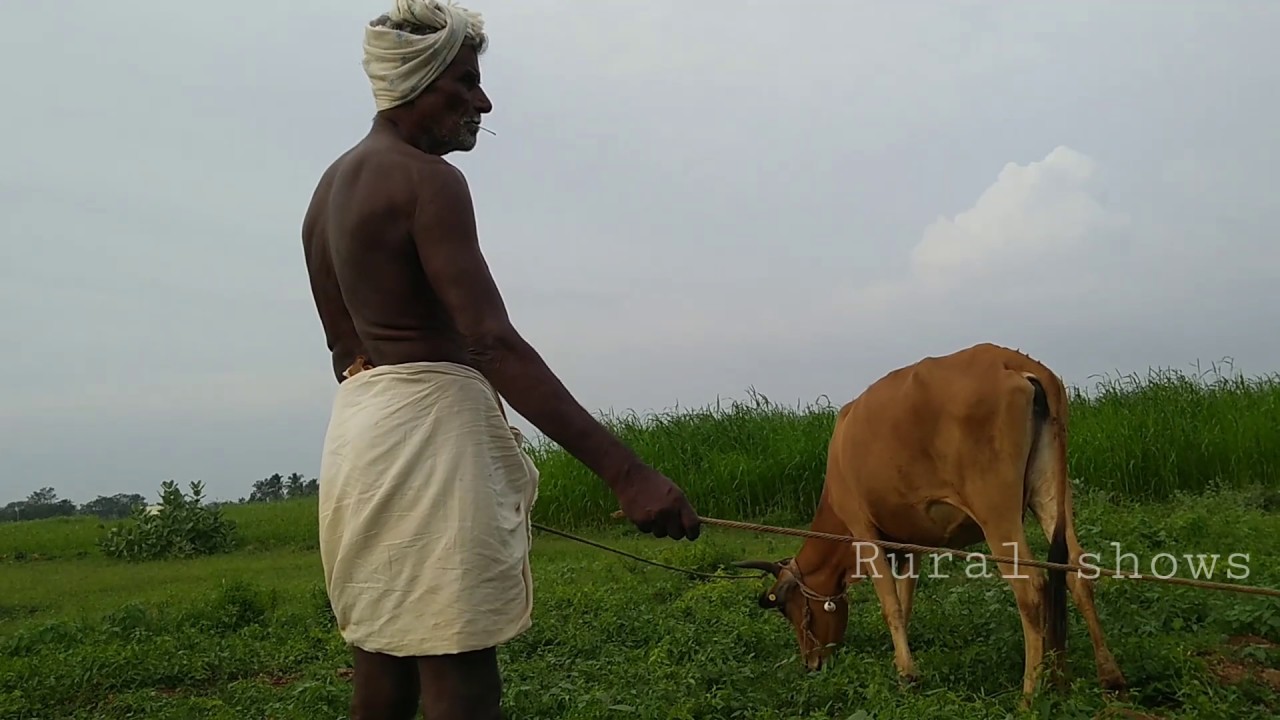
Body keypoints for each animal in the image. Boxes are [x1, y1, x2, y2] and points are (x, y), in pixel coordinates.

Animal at [732, 342, 1126, 703]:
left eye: (791, 610)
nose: (811, 664)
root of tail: (1010, 361)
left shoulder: (863, 531)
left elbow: (890, 603)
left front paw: (907, 674)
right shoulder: (910, 543)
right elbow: (905, 601)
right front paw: (902, 665)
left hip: (996, 509)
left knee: (1031, 586)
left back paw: (1029, 692)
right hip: (1052, 492)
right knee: (1075, 570)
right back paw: (1104, 677)